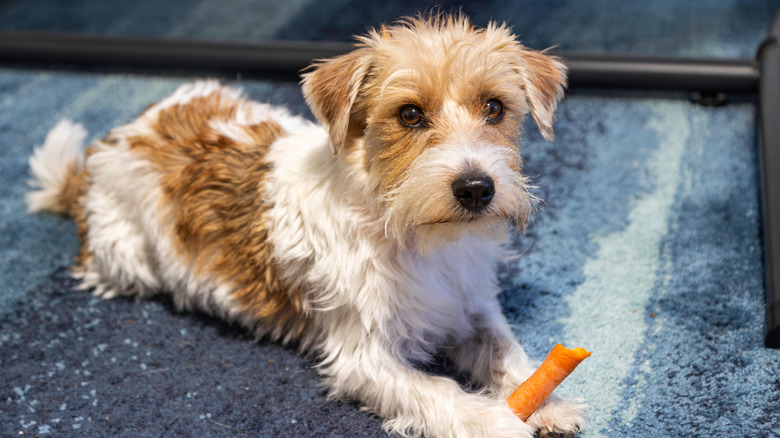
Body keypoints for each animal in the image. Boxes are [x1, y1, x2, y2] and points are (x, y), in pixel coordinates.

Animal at [24, 13, 584, 438]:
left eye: (494, 107)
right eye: (409, 114)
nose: (475, 188)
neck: (418, 235)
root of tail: (110, 144)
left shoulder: (472, 307)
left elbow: (513, 357)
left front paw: (547, 404)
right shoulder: (365, 357)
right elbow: (440, 393)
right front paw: (495, 421)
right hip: (126, 259)